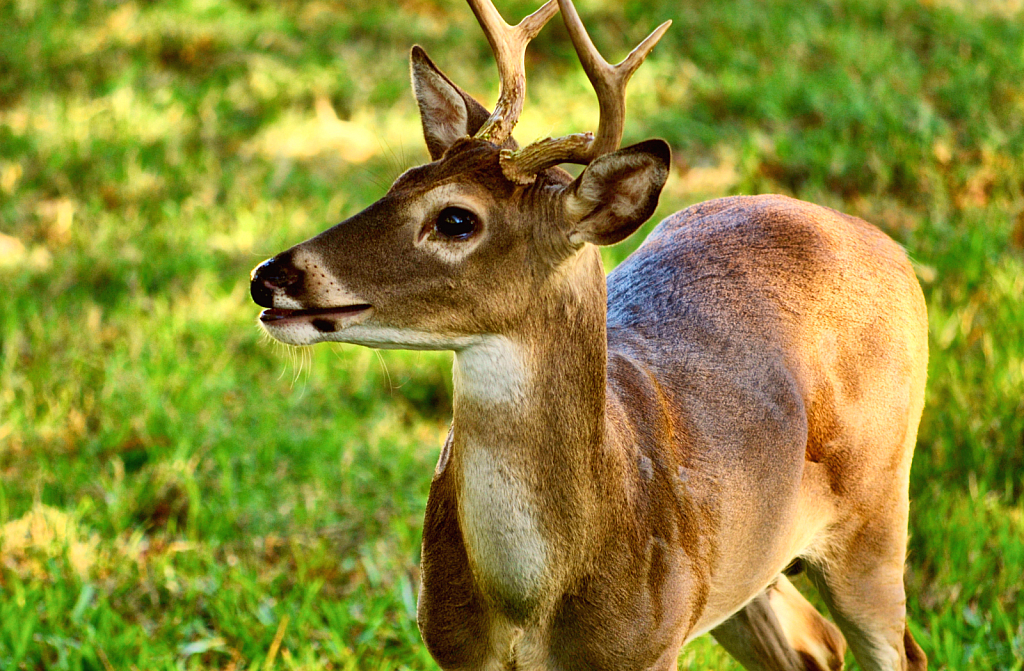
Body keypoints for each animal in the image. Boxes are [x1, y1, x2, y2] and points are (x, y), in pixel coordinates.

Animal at [247, 1, 929, 671]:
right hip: (742, 563)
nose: (267, 277)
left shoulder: (647, 648)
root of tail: (889, 247)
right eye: (401, 180)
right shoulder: (455, 647)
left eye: (457, 219)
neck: (529, 606)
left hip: (875, 512)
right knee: (813, 644)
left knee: (898, 649)